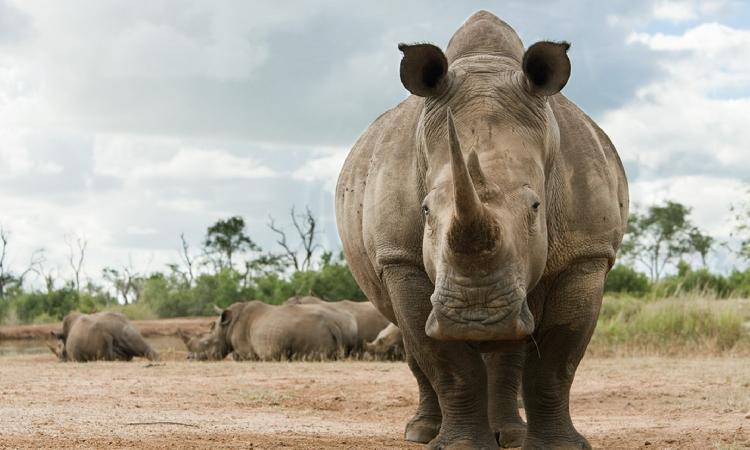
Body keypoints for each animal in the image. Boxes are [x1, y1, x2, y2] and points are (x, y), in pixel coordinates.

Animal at [181, 301, 360, 361]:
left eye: (206, 343)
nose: (189, 358)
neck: (226, 328)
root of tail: (335, 323)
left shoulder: (246, 351)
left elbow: (238, 356)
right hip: (349, 324)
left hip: (313, 329)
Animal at [336, 11, 628, 449]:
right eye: (425, 211)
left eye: (536, 208)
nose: (475, 315)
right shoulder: (399, 259)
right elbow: (446, 361)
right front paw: (459, 445)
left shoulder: (586, 254)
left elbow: (557, 361)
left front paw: (556, 447)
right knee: (412, 341)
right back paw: (422, 433)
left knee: (513, 347)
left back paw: (510, 434)